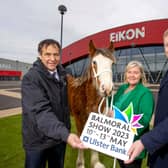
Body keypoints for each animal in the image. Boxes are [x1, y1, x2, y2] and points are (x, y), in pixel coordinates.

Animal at [67, 40, 115, 168]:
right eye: (94, 62)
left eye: (112, 63)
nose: (107, 89)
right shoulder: (78, 119)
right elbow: (79, 136)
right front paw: (80, 163)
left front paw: (95, 162)